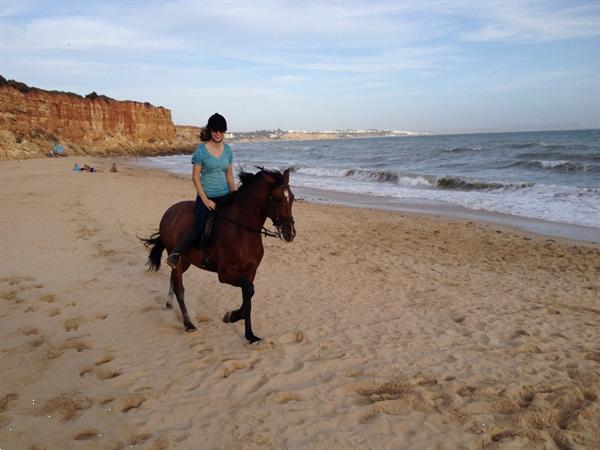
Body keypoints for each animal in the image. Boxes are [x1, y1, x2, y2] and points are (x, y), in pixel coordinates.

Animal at [141, 168, 296, 342]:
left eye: (292, 198)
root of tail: (170, 211)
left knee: (173, 281)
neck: (242, 230)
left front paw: (250, 335)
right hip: (178, 260)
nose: (289, 233)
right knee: (179, 289)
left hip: (185, 261)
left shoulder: (250, 272)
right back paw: (189, 324)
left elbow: (248, 296)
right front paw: (231, 316)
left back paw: (169, 306)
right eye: (277, 199)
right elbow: (249, 291)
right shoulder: (225, 274)